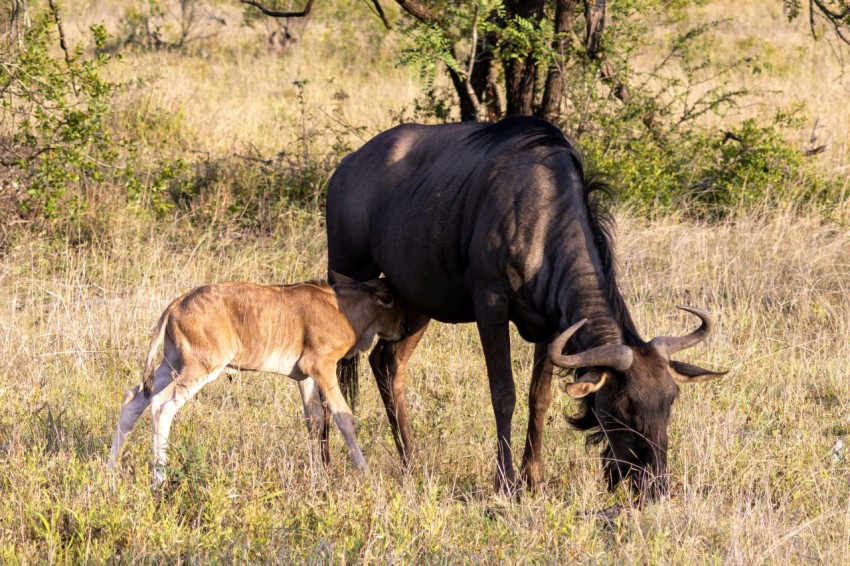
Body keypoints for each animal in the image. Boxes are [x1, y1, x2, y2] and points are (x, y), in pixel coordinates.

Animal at [107, 276, 402, 484]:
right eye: (399, 307)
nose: (403, 331)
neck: (341, 307)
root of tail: (177, 303)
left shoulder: (305, 377)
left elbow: (315, 421)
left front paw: (318, 477)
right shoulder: (323, 368)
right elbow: (344, 419)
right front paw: (365, 474)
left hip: (172, 363)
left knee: (134, 398)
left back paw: (109, 470)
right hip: (201, 367)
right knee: (162, 405)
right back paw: (160, 479)